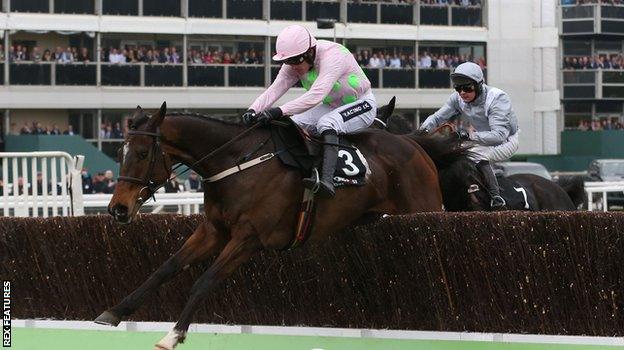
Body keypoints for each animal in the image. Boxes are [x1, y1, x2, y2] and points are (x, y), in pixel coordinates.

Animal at [95, 102, 460, 348]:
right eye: (121, 150)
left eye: (142, 153)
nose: (118, 209)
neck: (237, 163)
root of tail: (414, 144)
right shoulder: (213, 230)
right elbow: (165, 268)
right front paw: (114, 311)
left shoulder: (249, 237)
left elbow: (204, 281)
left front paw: (172, 334)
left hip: (423, 209)